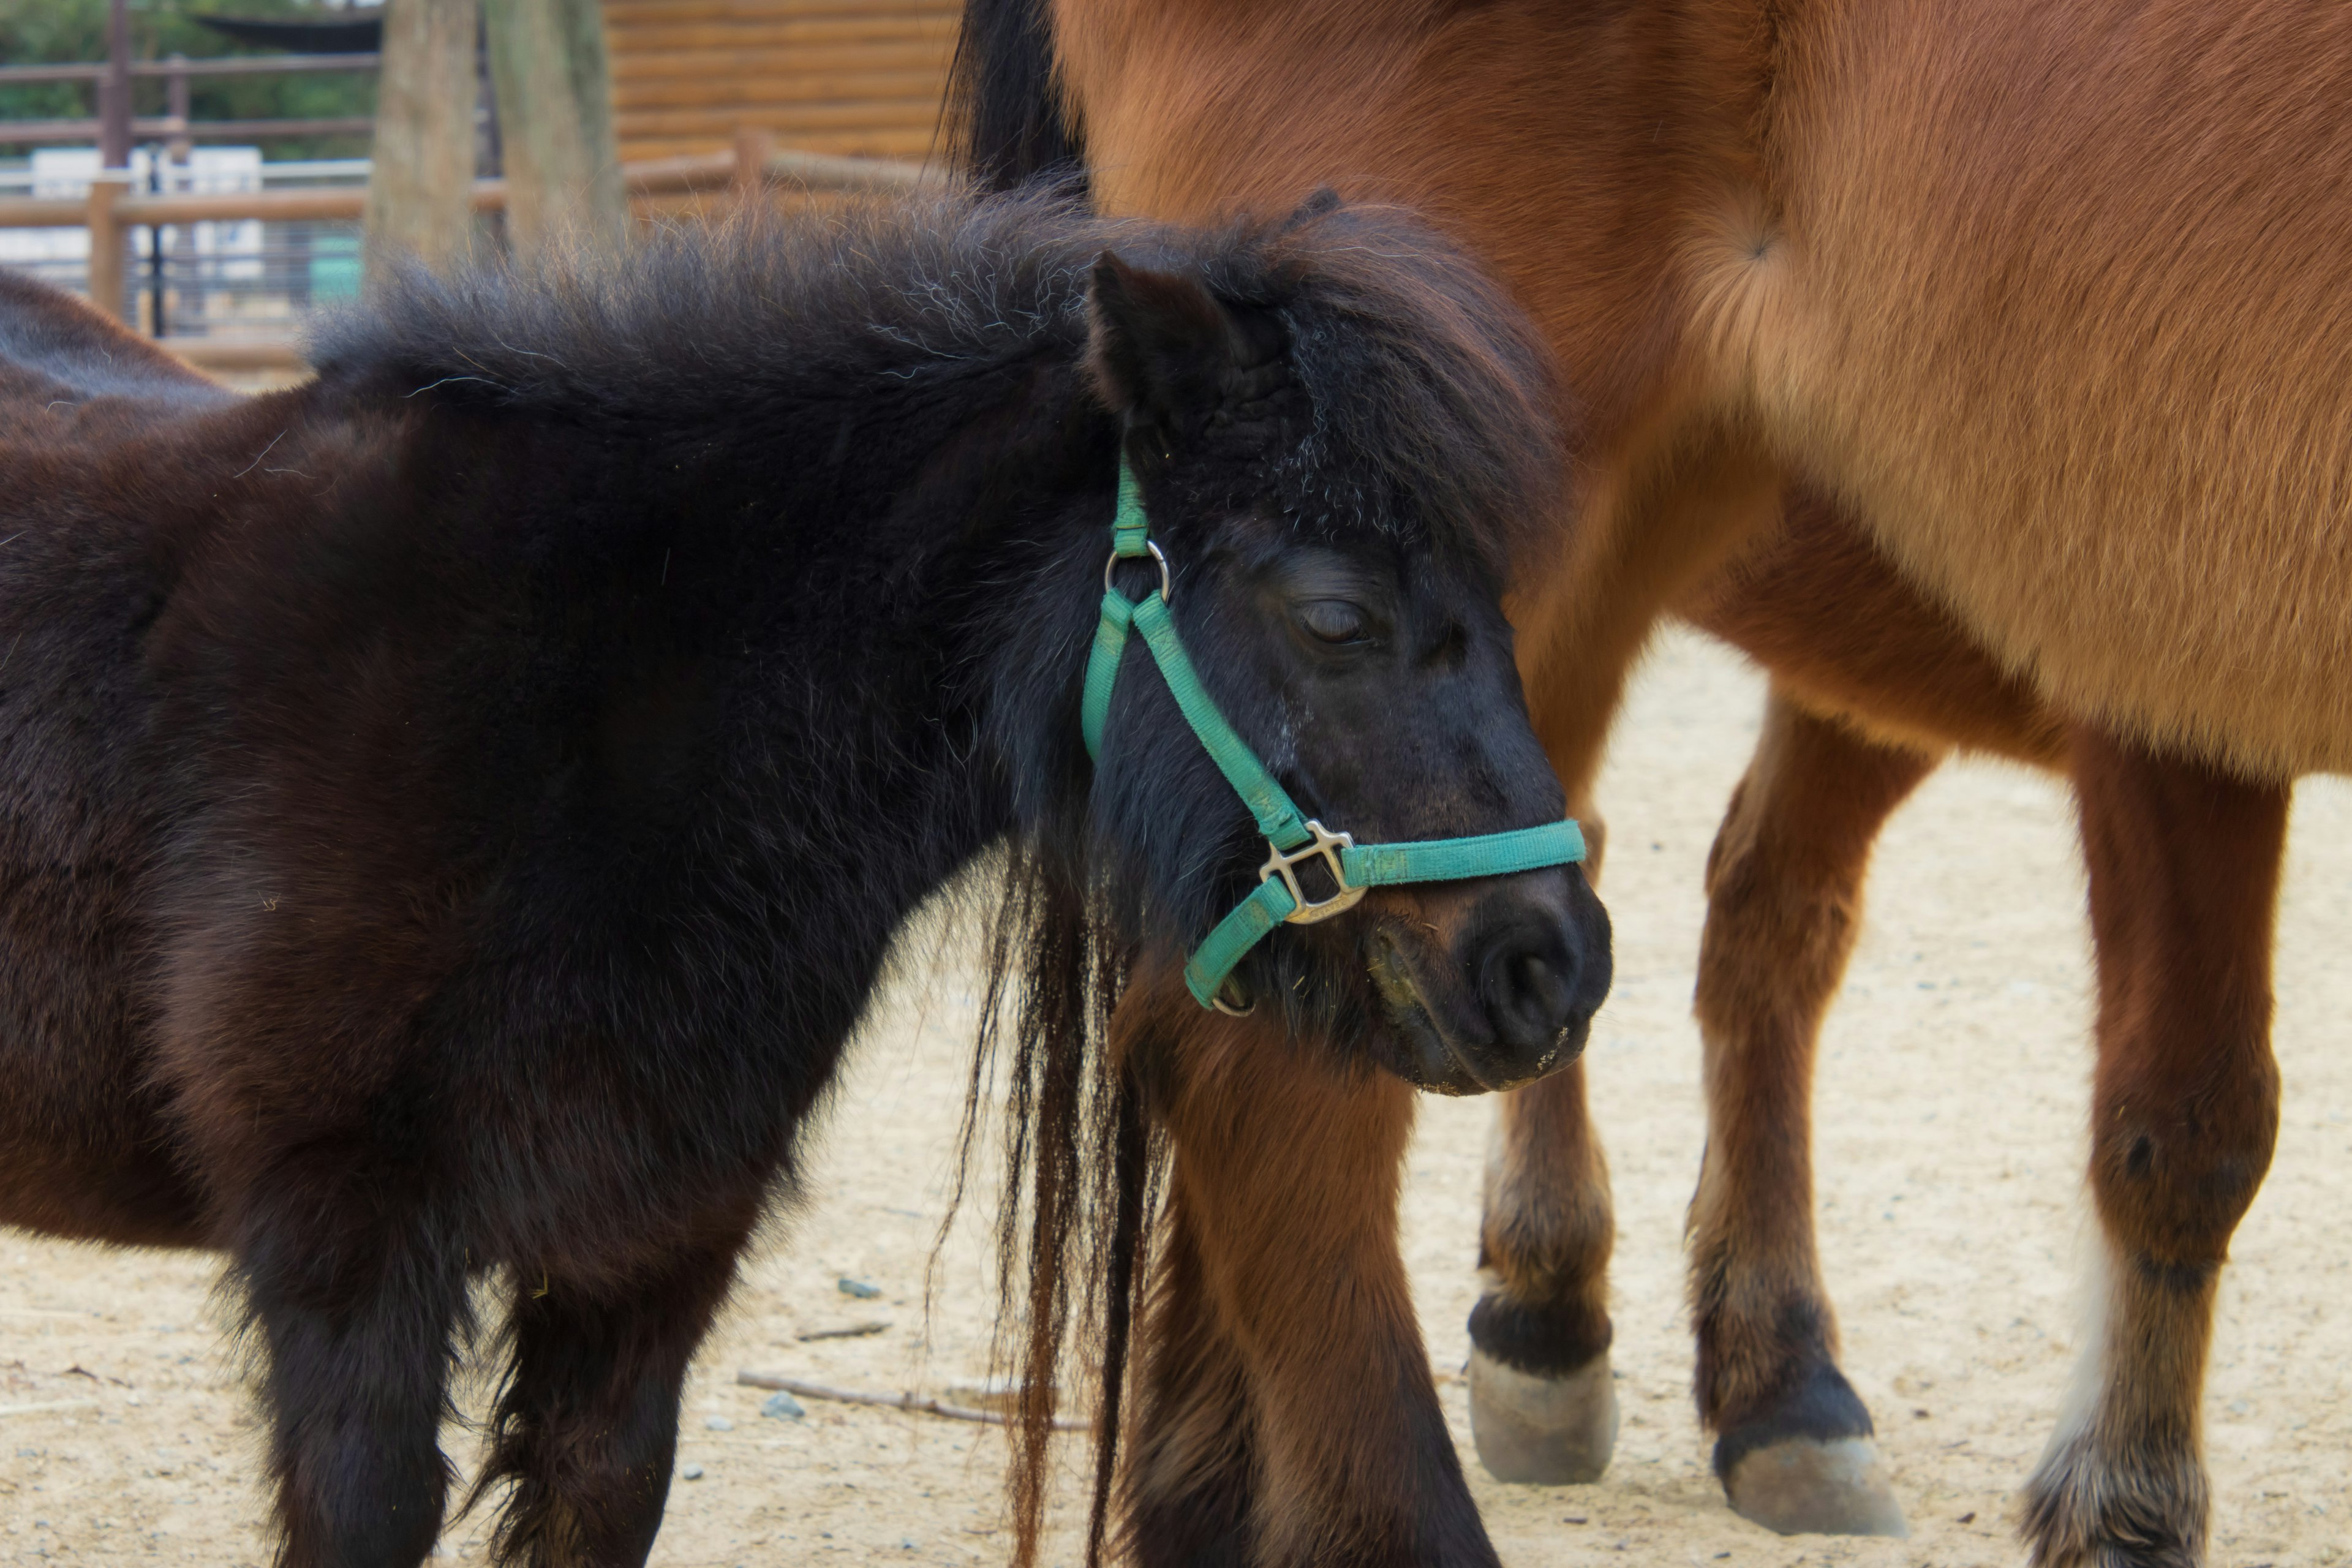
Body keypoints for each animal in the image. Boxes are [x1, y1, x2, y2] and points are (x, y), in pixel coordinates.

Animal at [950, 3, 2333, 1568]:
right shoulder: (2159, 638)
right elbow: (2188, 1120)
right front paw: (2122, 1506)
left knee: (1733, 913)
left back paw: (1740, 1376)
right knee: (1277, 1061)